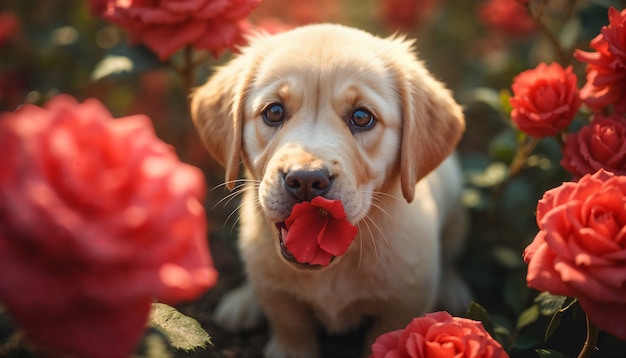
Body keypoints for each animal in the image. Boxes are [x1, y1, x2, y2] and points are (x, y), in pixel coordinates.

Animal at [190, 23, 468, 356]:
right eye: (274, 112)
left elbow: (386, 336)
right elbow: (289, 323)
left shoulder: (406, 300)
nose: (306, 179)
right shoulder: (277, 294)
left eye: (361, 117)